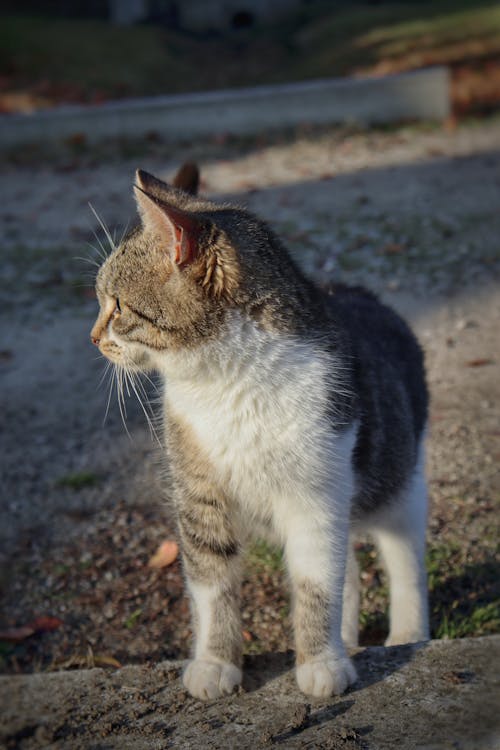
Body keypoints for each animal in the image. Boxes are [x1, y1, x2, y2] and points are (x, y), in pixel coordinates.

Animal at [91, 162, 430, 704]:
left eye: (118, 306)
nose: (93, 338)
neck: (226, 382)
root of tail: (361, 292)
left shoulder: (316, 496)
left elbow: (317, 584)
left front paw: (321, 663)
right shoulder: (199, 495)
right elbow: (214, 588)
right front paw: (215, 664)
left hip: (400, 477)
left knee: (402, 558)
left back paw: (406, 632)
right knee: (350, 568)